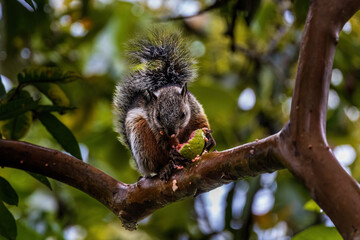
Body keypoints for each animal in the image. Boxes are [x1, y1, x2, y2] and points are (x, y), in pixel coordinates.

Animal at [113, 30, 214, 180]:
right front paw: (172, 151)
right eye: (158, 117)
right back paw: (165, 167)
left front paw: (209, 138)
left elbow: (201, 123)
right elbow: (162, 141)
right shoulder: (155, 126)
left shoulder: (195, 109)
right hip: (141, 139)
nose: (171, 132)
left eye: (183, 114)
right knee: (155, 164)